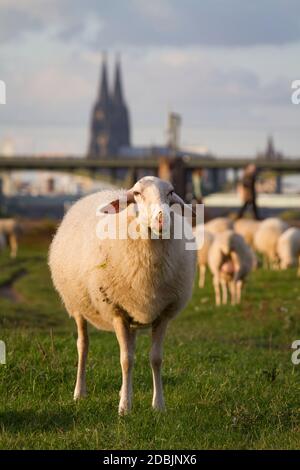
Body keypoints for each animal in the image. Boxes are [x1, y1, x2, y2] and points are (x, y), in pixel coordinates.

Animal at [48, 176, 196, 414]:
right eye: (137, 194)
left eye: (171, 192)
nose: (162, 220)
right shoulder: (116, 311)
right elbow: (125, 360)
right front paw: (125, 407)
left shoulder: (163, 314)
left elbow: (156, 359)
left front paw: (158, 405)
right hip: (77, 306)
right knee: (83, 345)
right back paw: (79, 392)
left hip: (132, 314)